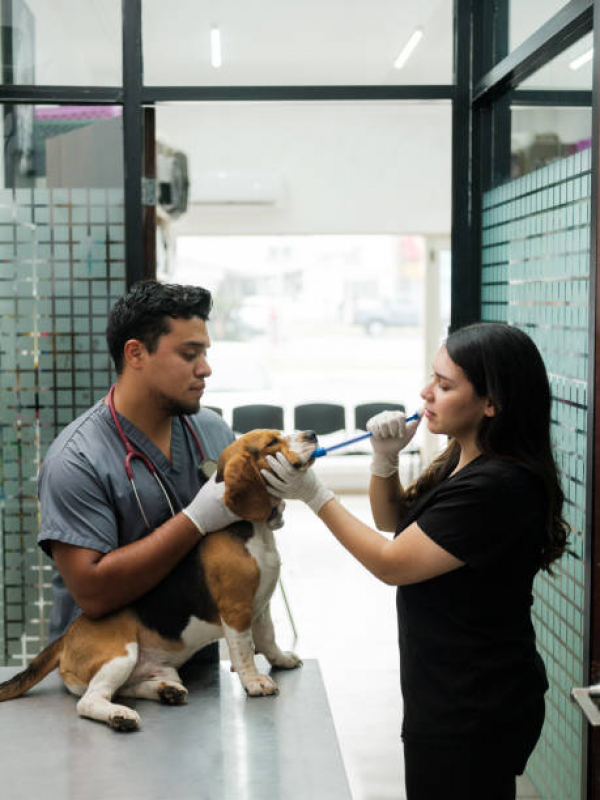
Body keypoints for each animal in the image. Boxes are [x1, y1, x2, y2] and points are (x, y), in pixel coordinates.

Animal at [0, 432, 318, 732]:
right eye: (272, 442)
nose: (312, 435)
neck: (253, 529)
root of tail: (66, 637)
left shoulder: (261, 607)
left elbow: (268, 638)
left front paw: (281, 659)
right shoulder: (237, 609)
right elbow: (245, 651)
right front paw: (254, 681)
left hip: (156, 669)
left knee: (129, 688)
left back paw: (167, 692)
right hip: (120, 655)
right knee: (90, 701)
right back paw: (120, 716)